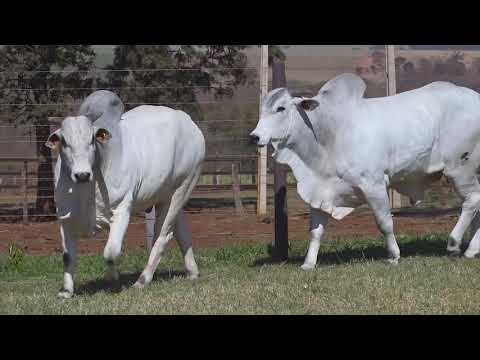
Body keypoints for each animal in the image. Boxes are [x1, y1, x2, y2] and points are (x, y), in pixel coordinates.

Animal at [47, 90, 205, 298]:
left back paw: (142, 280)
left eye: (92, 140)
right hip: (167, 195)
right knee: (181, 231)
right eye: (64, 142)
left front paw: (113, 281)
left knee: (162, 236)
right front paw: (66, 291)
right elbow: (67, 256)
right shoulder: (65, 218)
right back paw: (192, 272)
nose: (82, 174)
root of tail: (189, 122)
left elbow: (111, 252)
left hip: (182, 188)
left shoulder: (122, 209)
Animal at [249, 73, 480, 270]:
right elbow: (315, 231)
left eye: (280, 108)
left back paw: (454, 244)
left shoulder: (374, 185)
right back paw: (471, 250)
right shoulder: (321, 191)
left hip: (460, 168)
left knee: (472, 200)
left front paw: (394, 255)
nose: (254, 136)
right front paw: (308, 264)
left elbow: (385, 223)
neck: (329, 134)